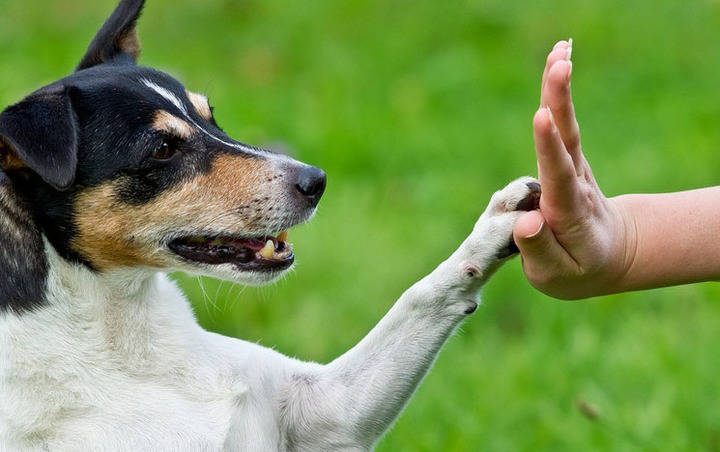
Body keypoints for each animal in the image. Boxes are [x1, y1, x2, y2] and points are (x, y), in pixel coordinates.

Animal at [0, 1, 540, 450]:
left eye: (211, 117)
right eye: (162, 149)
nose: (316, 180)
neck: (120, 327)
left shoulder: (328, 410)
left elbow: (421, 296)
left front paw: (497, 227)